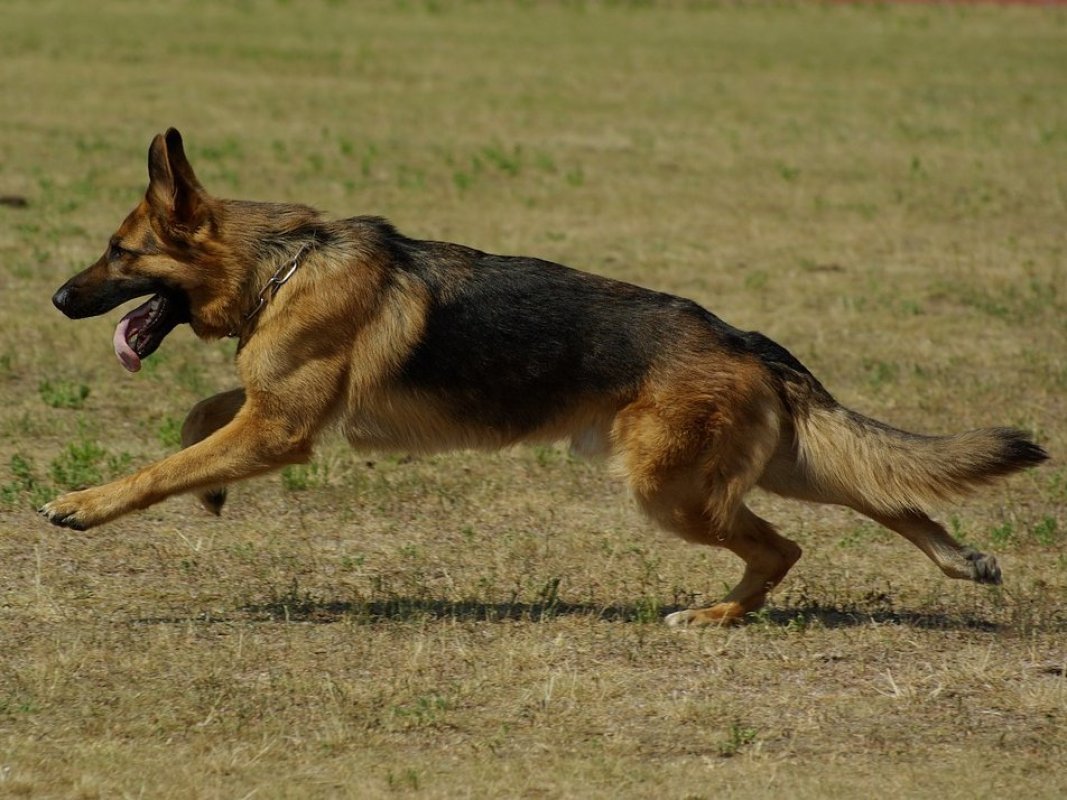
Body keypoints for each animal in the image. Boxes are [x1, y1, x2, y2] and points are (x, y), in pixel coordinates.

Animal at [39, 128, 1041, 627]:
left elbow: (166, 465)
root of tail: (747, 340)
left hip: (672, 490)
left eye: (119, 252)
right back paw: (959, 560)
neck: (282, 261)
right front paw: (207, 489)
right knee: (883, 491)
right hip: (766, 464)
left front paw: (85, 504)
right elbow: (201, 421)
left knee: (784, 547)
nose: (54, 298)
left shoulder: (280, 429)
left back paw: (715, 616)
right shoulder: (274, 412)